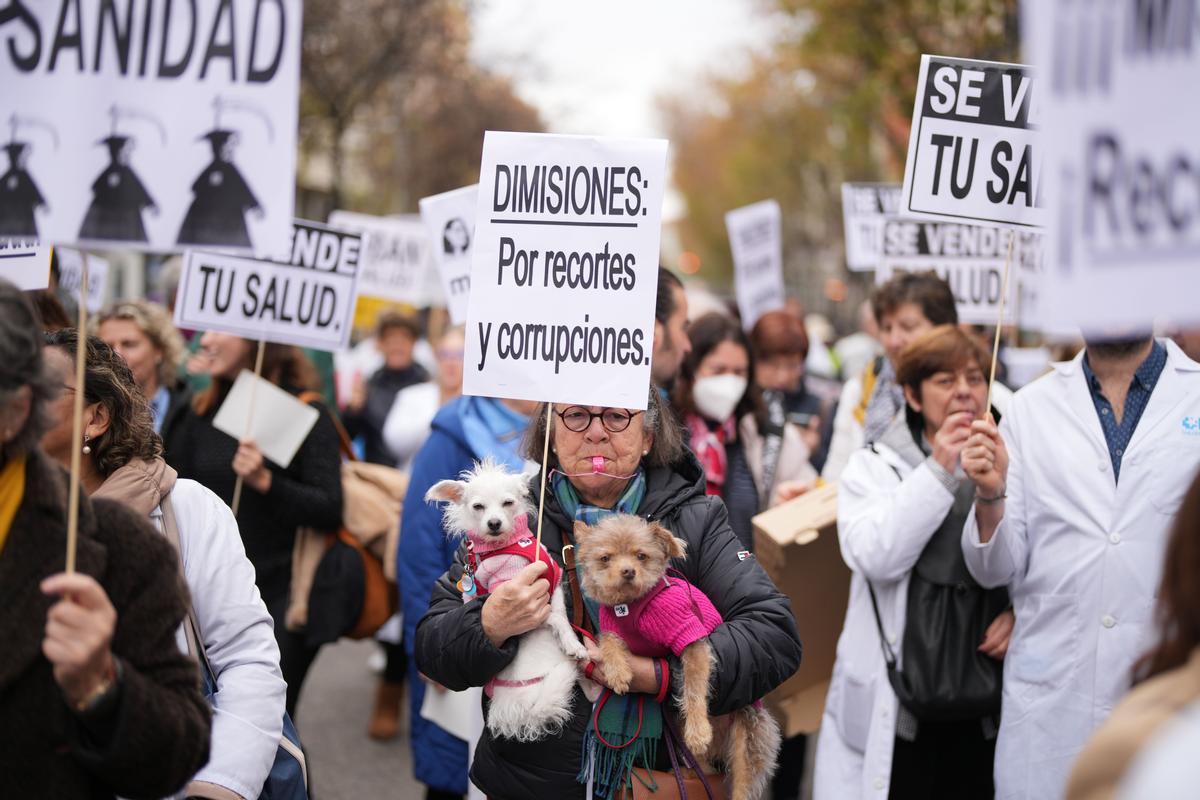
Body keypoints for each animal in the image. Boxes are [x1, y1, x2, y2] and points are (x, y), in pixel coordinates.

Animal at [427, 460, 590, 743]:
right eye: (478, 507)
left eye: (508, 502)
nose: (494, 523)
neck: (507, 545)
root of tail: (520, 706)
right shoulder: (525, 601)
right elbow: (555, 616)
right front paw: (573, 645)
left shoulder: (553, 578)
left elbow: (560, 612)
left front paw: (570, 641)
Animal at [576, 515, 782, 796]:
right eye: (605, 558)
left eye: (641, 556)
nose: (628, 571)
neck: (631, 606)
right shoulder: (613, 629)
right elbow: (608, 643)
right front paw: (618, 673)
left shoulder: (690, 638)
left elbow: (693, 688)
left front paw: (698, 731)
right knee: (705, 768)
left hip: (747, 742)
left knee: (740, 784)